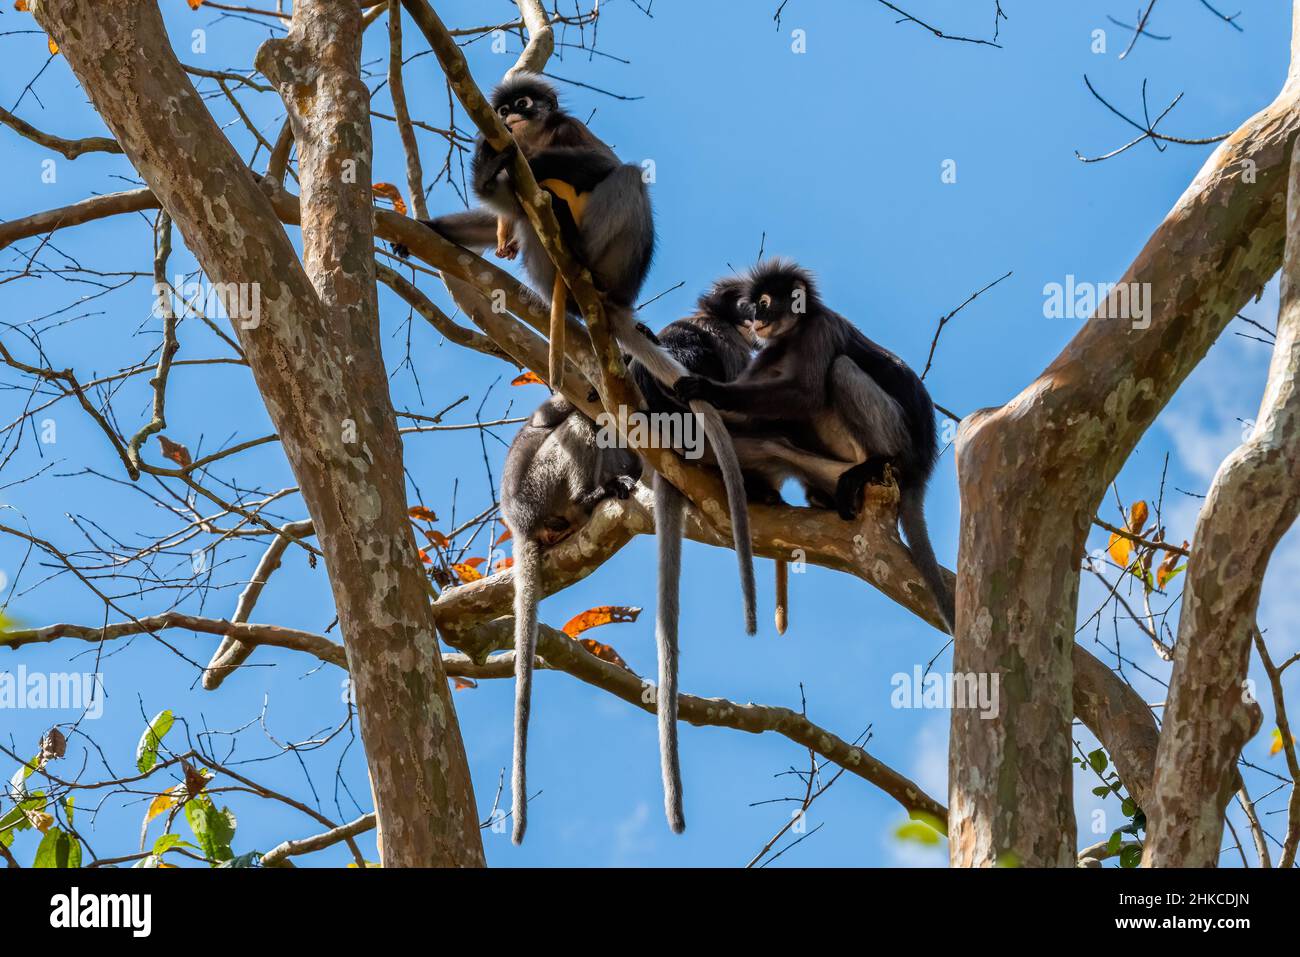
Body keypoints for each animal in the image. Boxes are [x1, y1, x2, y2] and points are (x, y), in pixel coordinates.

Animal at [681, 260, 956, 634]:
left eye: (764, 303)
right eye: (751, 306)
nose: (755, 318)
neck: (795, 334)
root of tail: (920, 469)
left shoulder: (819, 331)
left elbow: (807, 394)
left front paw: (710, 390)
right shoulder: (774, 348)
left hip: (894, 435)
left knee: (839, 369)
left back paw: (874, 464)